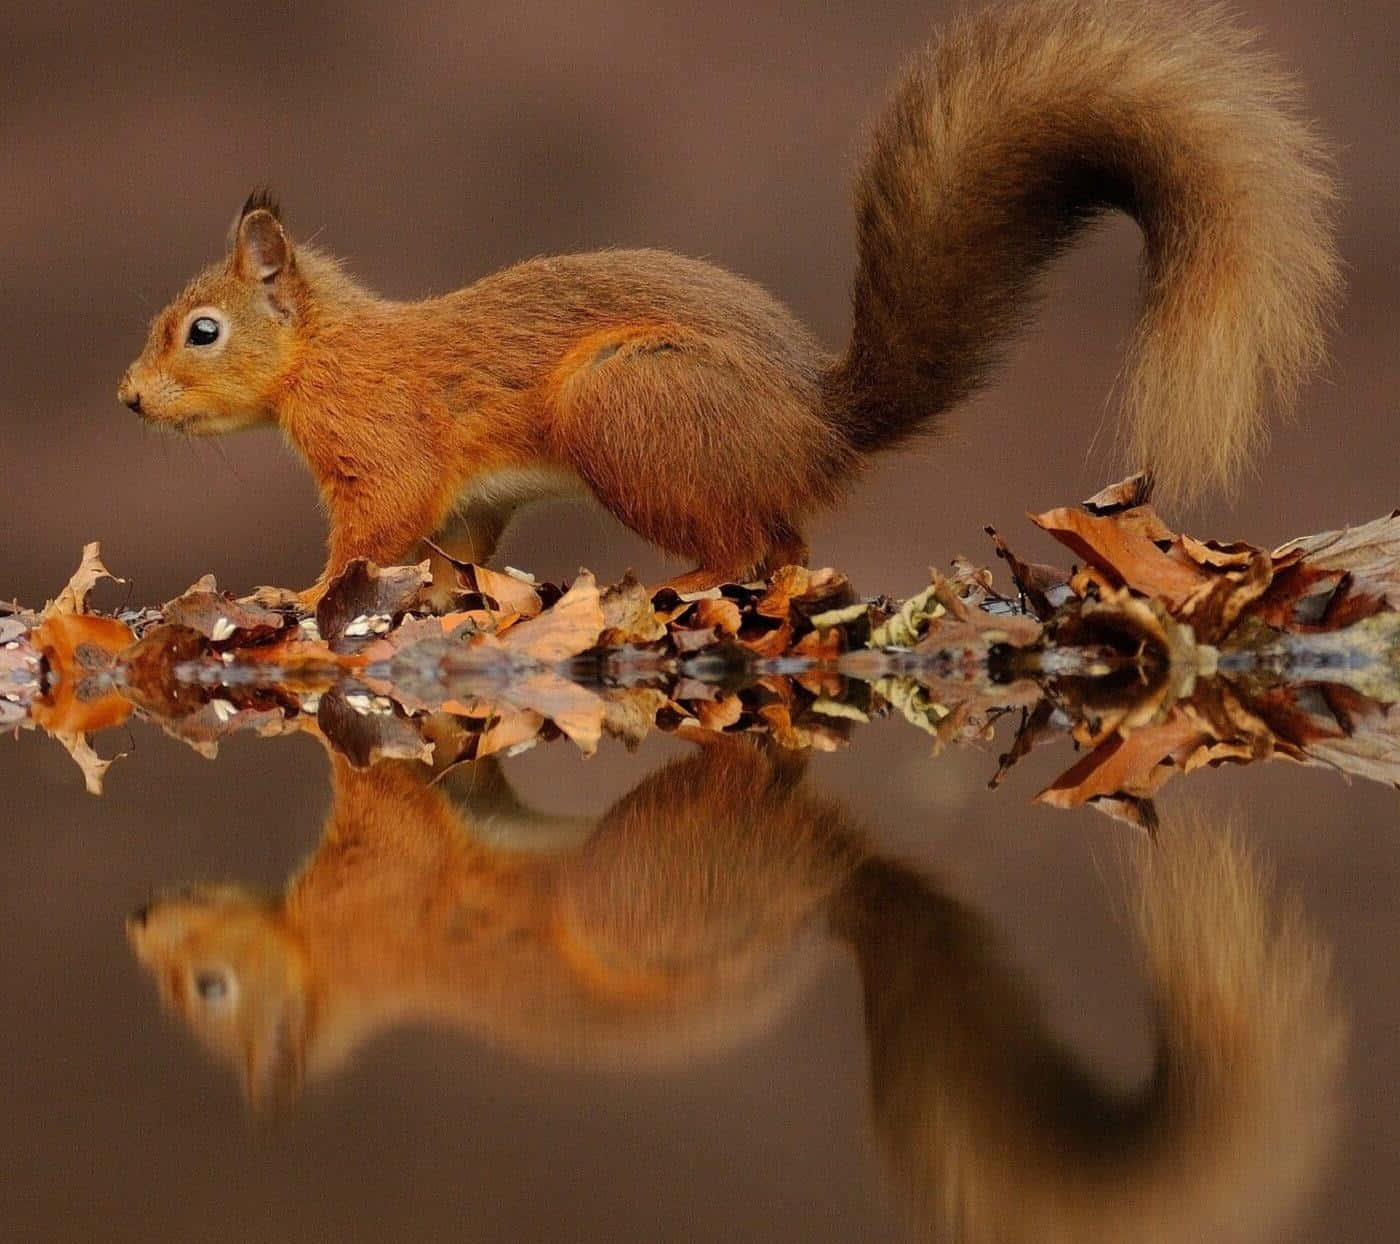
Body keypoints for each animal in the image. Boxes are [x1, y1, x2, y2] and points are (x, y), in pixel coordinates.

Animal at [118, 0, 1338, 599]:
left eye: (202, 330)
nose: (128, 400)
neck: (323, 353)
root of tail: (814, 427)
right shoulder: (464, 497)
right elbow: (452, 539)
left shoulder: (383, 442)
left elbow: (374, 527)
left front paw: (301, 596)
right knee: (784, 545)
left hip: (625, 412)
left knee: (742, 544)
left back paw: (668, 581)